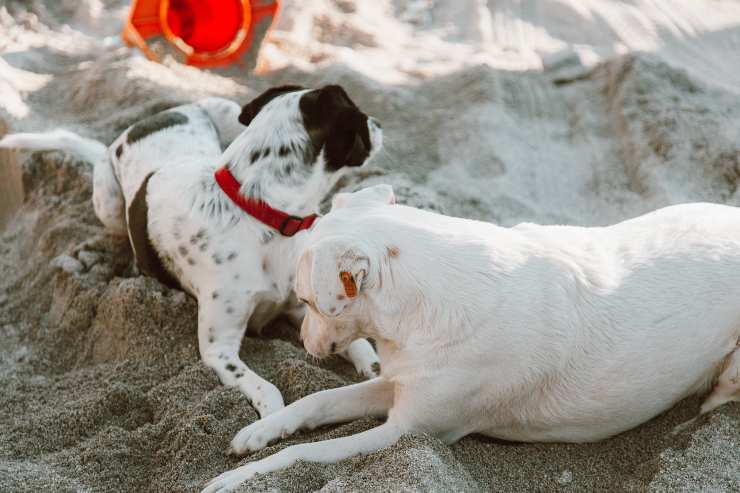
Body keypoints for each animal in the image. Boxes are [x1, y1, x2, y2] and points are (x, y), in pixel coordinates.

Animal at [0, 84, 382, 416]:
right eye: (362, 118)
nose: (379, 123)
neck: (260, 212)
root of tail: (143, 123)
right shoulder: (218, 349)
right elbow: (268, 389)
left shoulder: (298, 307)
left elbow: (355, 341)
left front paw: (374, 367)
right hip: (108, 204)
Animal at [202, 185, 740, 492]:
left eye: (307, 302)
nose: (304, 342)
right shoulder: (399, 382)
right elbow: (316, 401)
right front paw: (258, 432)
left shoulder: (406, 431)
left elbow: (301, 454)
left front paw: (236, 479)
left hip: (732, 369)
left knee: (717, 399)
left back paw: (687, 424)